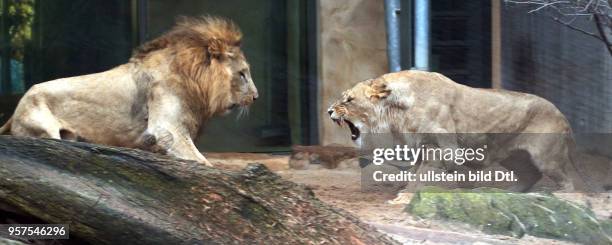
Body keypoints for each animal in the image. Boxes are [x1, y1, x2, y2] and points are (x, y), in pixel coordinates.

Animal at [0, 16, 258, 167]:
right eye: (242, 74)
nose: (256, 97)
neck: (195, 80)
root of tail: (14, 111)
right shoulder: (167, 128)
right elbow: (202, 162)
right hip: (45, 130)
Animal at [328, 70, 580, 192]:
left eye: (349, 100)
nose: (329, 110)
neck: (396, 111)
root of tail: (563, 115)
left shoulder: (443, 148)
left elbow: (421, 176)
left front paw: (403, 197)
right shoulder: (421, 146)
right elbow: (415, 172)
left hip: (546, 156)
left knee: (567, 181)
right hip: (513, 156)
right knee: (530, 175)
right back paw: (510, 192)